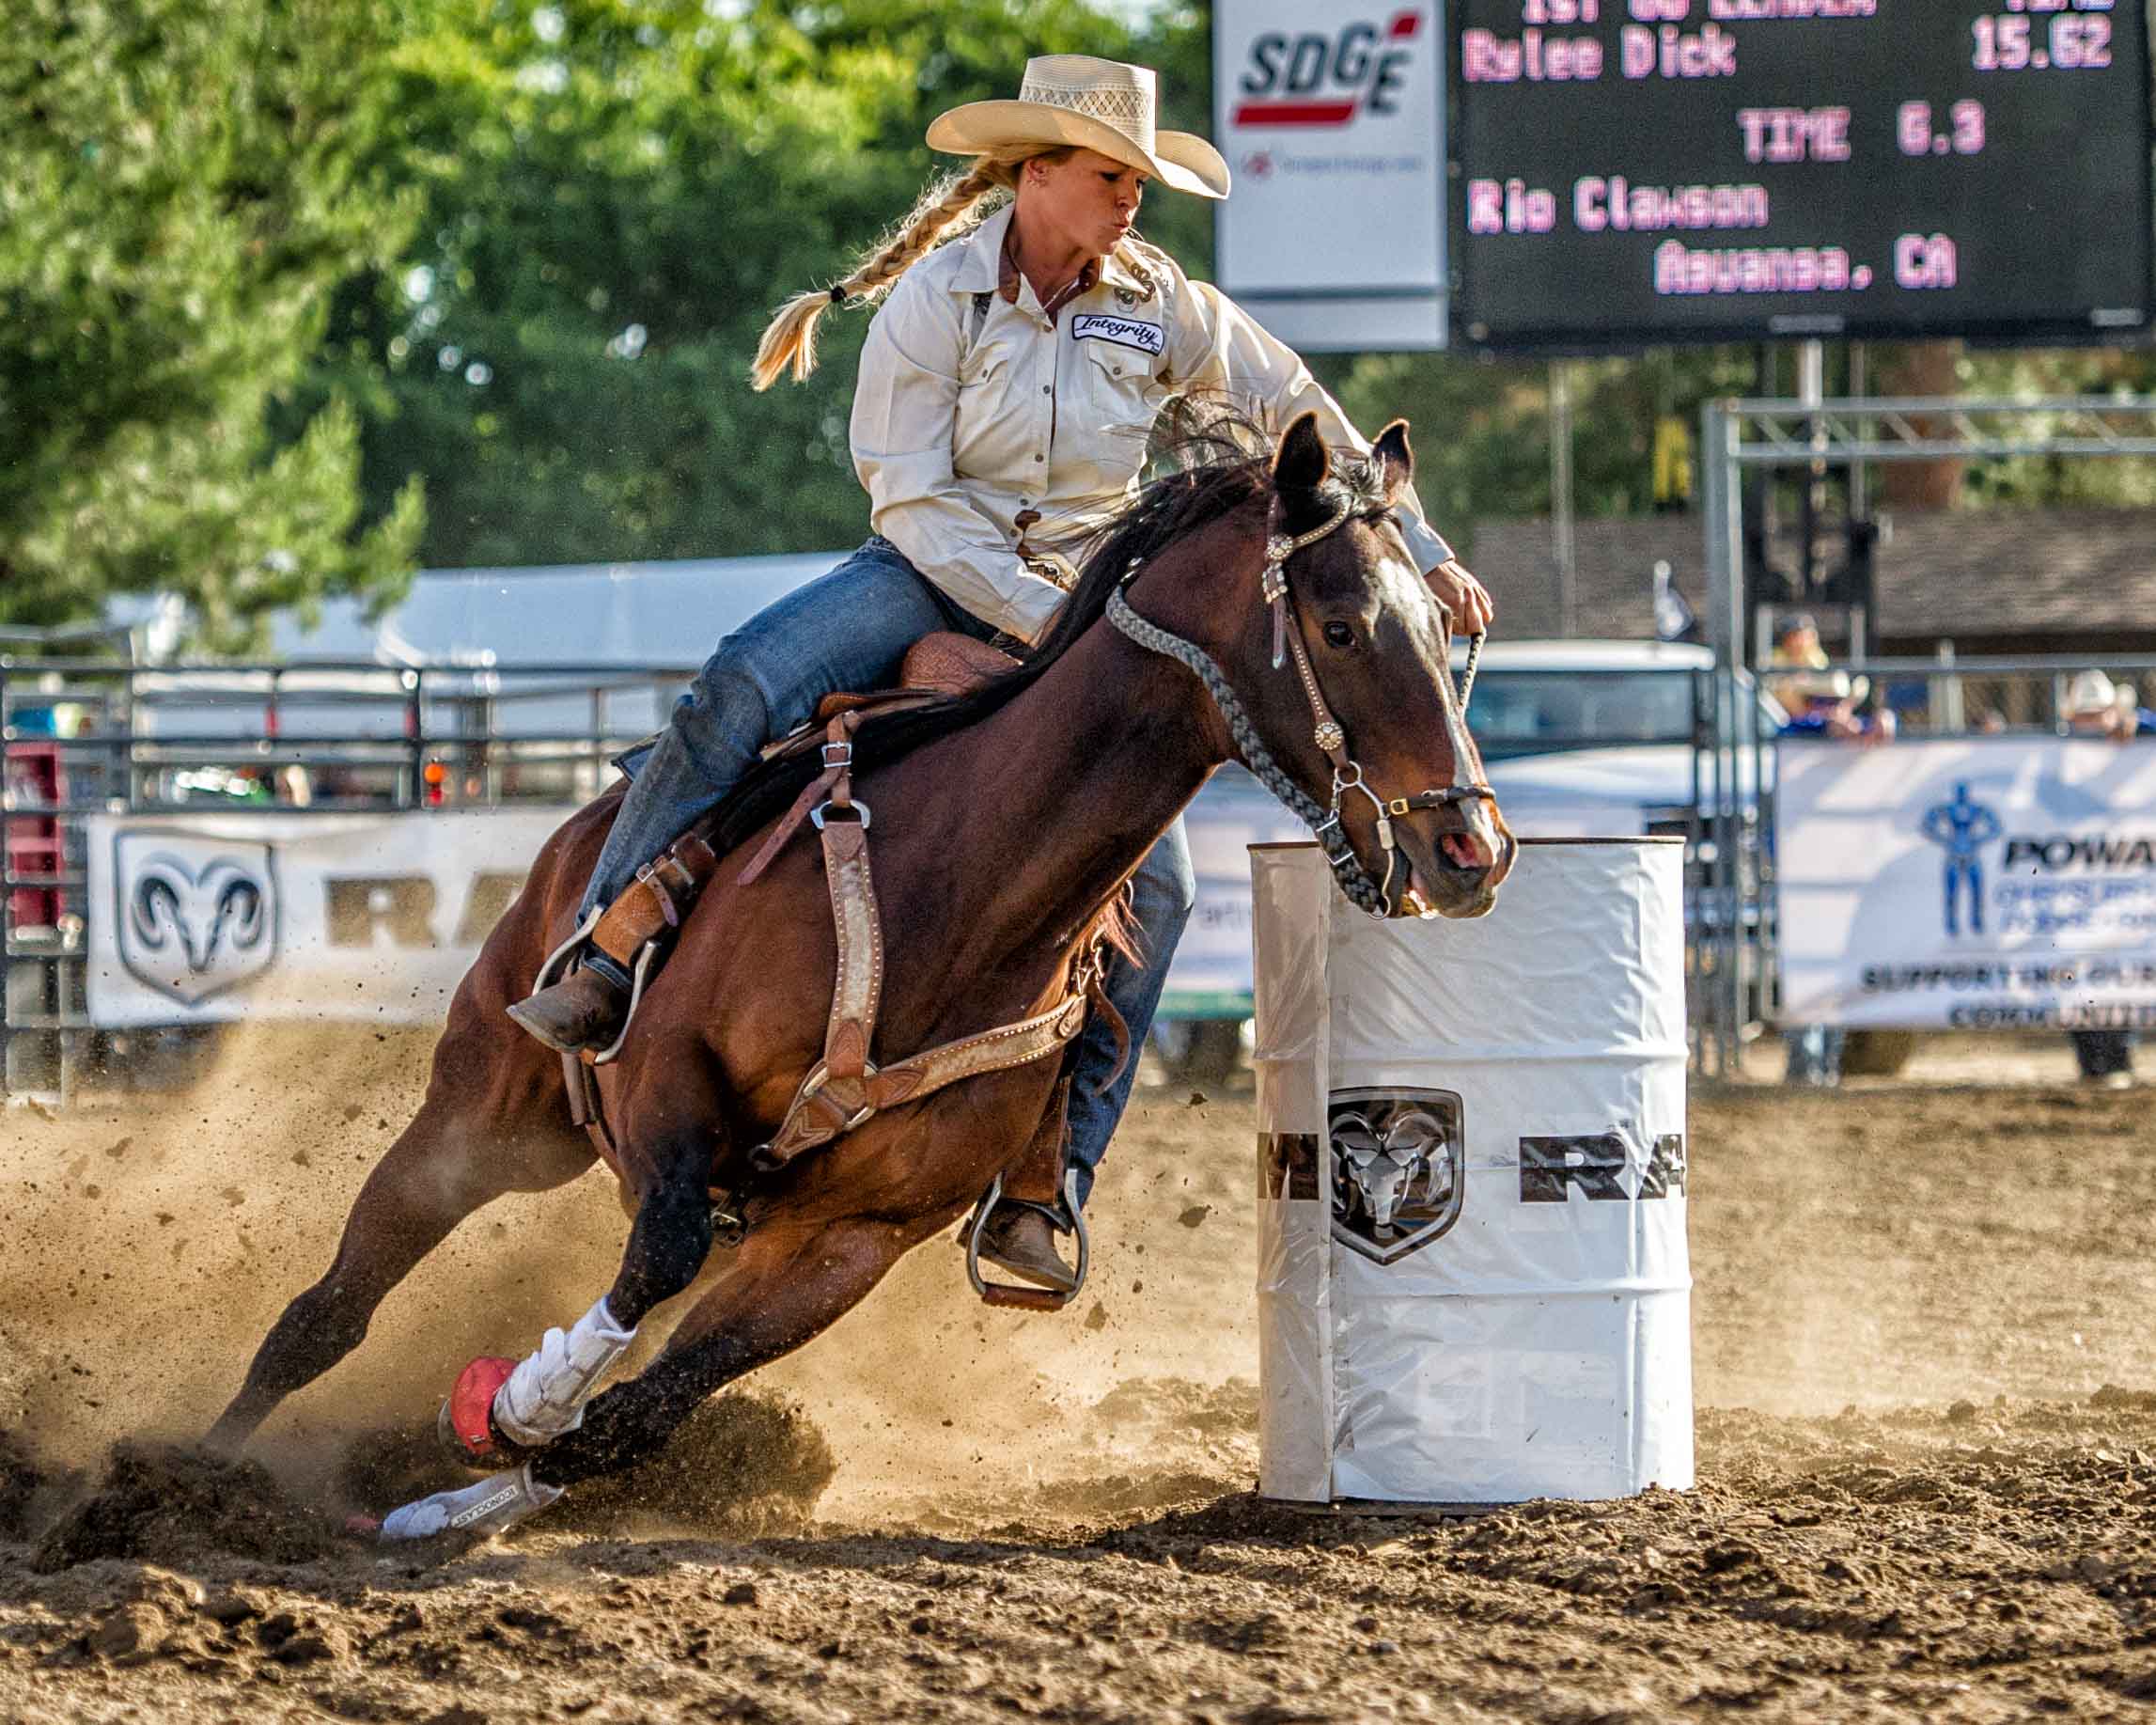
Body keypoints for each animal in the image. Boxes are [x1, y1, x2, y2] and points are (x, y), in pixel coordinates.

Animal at [202, 414, 1517, 1535]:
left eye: (1440, 626)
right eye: (1340, 625)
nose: (1472, 849)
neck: (960, 890)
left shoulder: (851, 1239)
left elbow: (640, 1413)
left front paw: (496, 1455)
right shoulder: (668, 1083)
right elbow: (651, 1260)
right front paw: (516, 1402)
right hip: (492, 1111)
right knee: (329, 1309)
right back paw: (197, 1472)